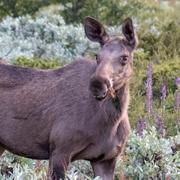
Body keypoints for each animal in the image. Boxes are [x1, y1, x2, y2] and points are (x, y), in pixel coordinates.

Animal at [0, 16, 138, 179]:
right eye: (97, 56)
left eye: (124, 58)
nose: (97, 84)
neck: (111, 122)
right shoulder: (60, 150)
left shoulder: (106, 159)